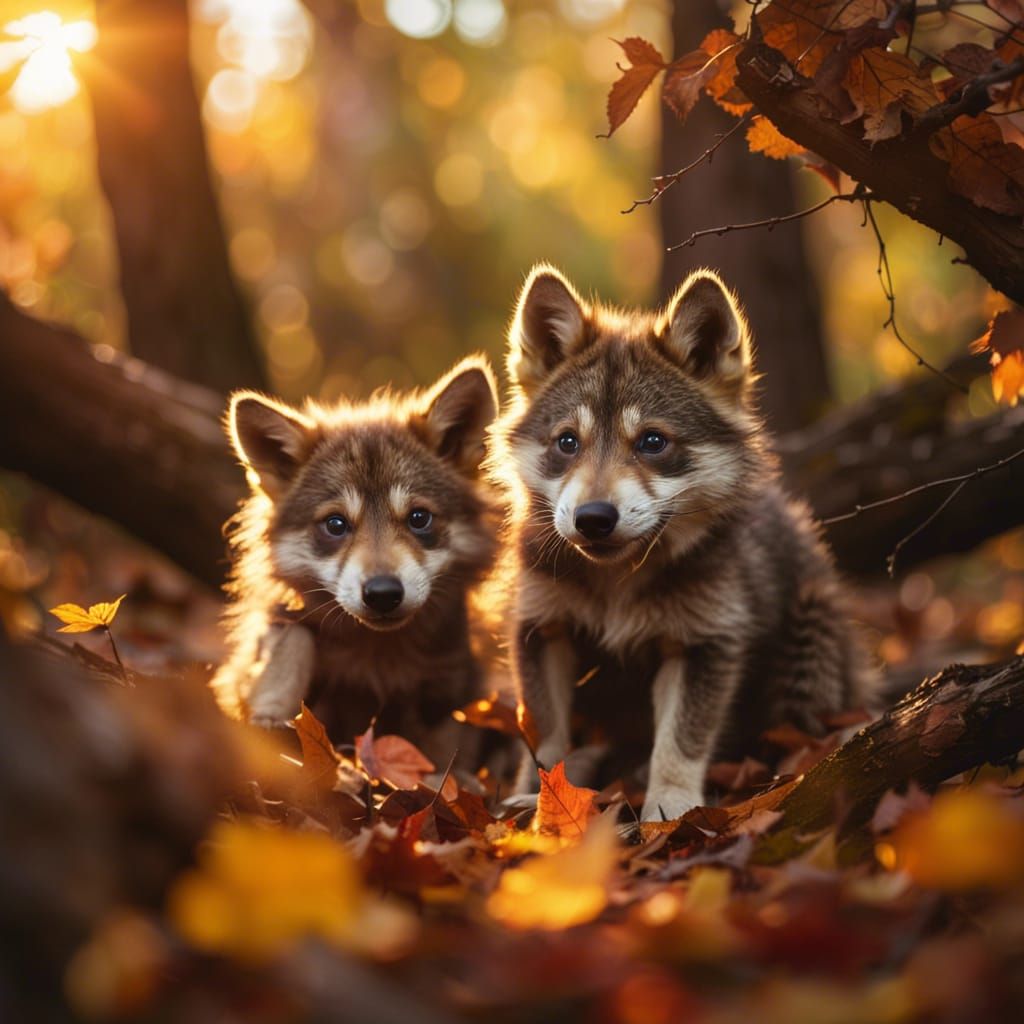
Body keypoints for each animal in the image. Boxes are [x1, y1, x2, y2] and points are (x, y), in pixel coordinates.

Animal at [211, 357, 499, 764]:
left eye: (419, 518)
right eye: (336, 524)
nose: (382, 594)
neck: (374, 655)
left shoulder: (450, 685)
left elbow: (446, 755)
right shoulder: (267, 640)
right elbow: (293, 641)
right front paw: (270, 711)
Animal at [494, 265, 876, 821]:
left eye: (653, 442)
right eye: (566, 442)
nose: (593, 519)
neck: (618, 582)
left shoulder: (704, 643)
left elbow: (680, 740)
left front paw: (671, 807)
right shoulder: (543, 630)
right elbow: (544, 737)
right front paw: (540, 791)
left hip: (811, 641)